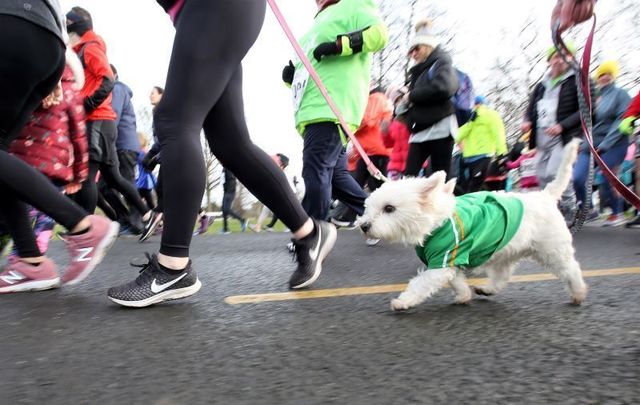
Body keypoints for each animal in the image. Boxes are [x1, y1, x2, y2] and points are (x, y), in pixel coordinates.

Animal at [358, 139, 588, 310]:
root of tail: (545, 196)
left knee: (571, 269)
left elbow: (421, 282)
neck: (437, 221)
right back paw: (487, 289)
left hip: (552, 250)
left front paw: (403, 301)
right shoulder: (451, 260)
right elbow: (456, 280)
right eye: (368, 206)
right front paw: (463, 295)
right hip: (505, 252)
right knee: (502, 276)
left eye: (389, 208)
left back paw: (578, 293)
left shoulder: (443, 260)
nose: (364, 226)